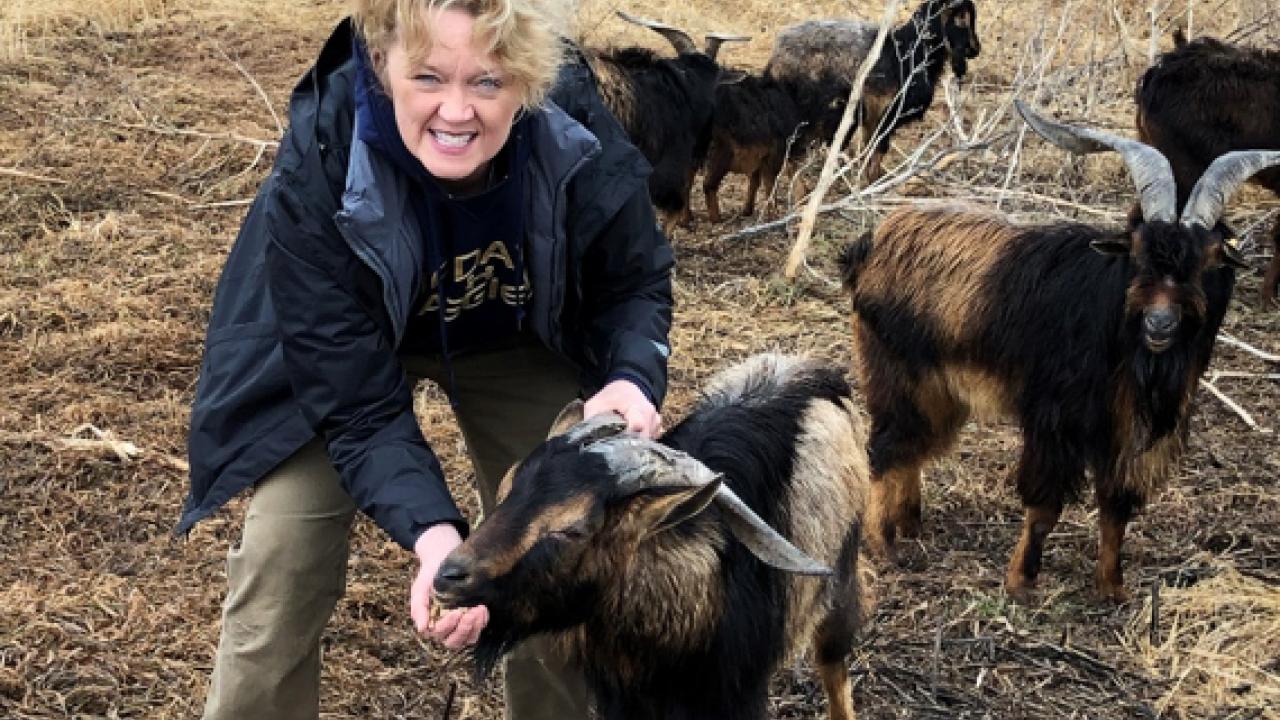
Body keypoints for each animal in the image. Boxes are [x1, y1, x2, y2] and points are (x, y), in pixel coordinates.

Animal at [762, 0, 983, 179]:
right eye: (960, 17)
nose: (974, 49)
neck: (907, 53)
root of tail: (776, 60)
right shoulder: (879, 110)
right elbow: (874, 155)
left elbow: (873, 154)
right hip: (809, 110)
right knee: (791, 151)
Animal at [839, 98, 1280, 597]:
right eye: (1138, 252)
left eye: (1207, 261)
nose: (1159, 322)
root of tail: (869, 244)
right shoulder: (1055, 423)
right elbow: (1044, 508)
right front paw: (1020, 582)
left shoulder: (1126, 435)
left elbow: (1115, 512)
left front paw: (1111, 588)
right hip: (897, 375)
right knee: (886, 449)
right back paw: (883, 544)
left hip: (941, 390)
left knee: (913, 449)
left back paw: (909, 524)